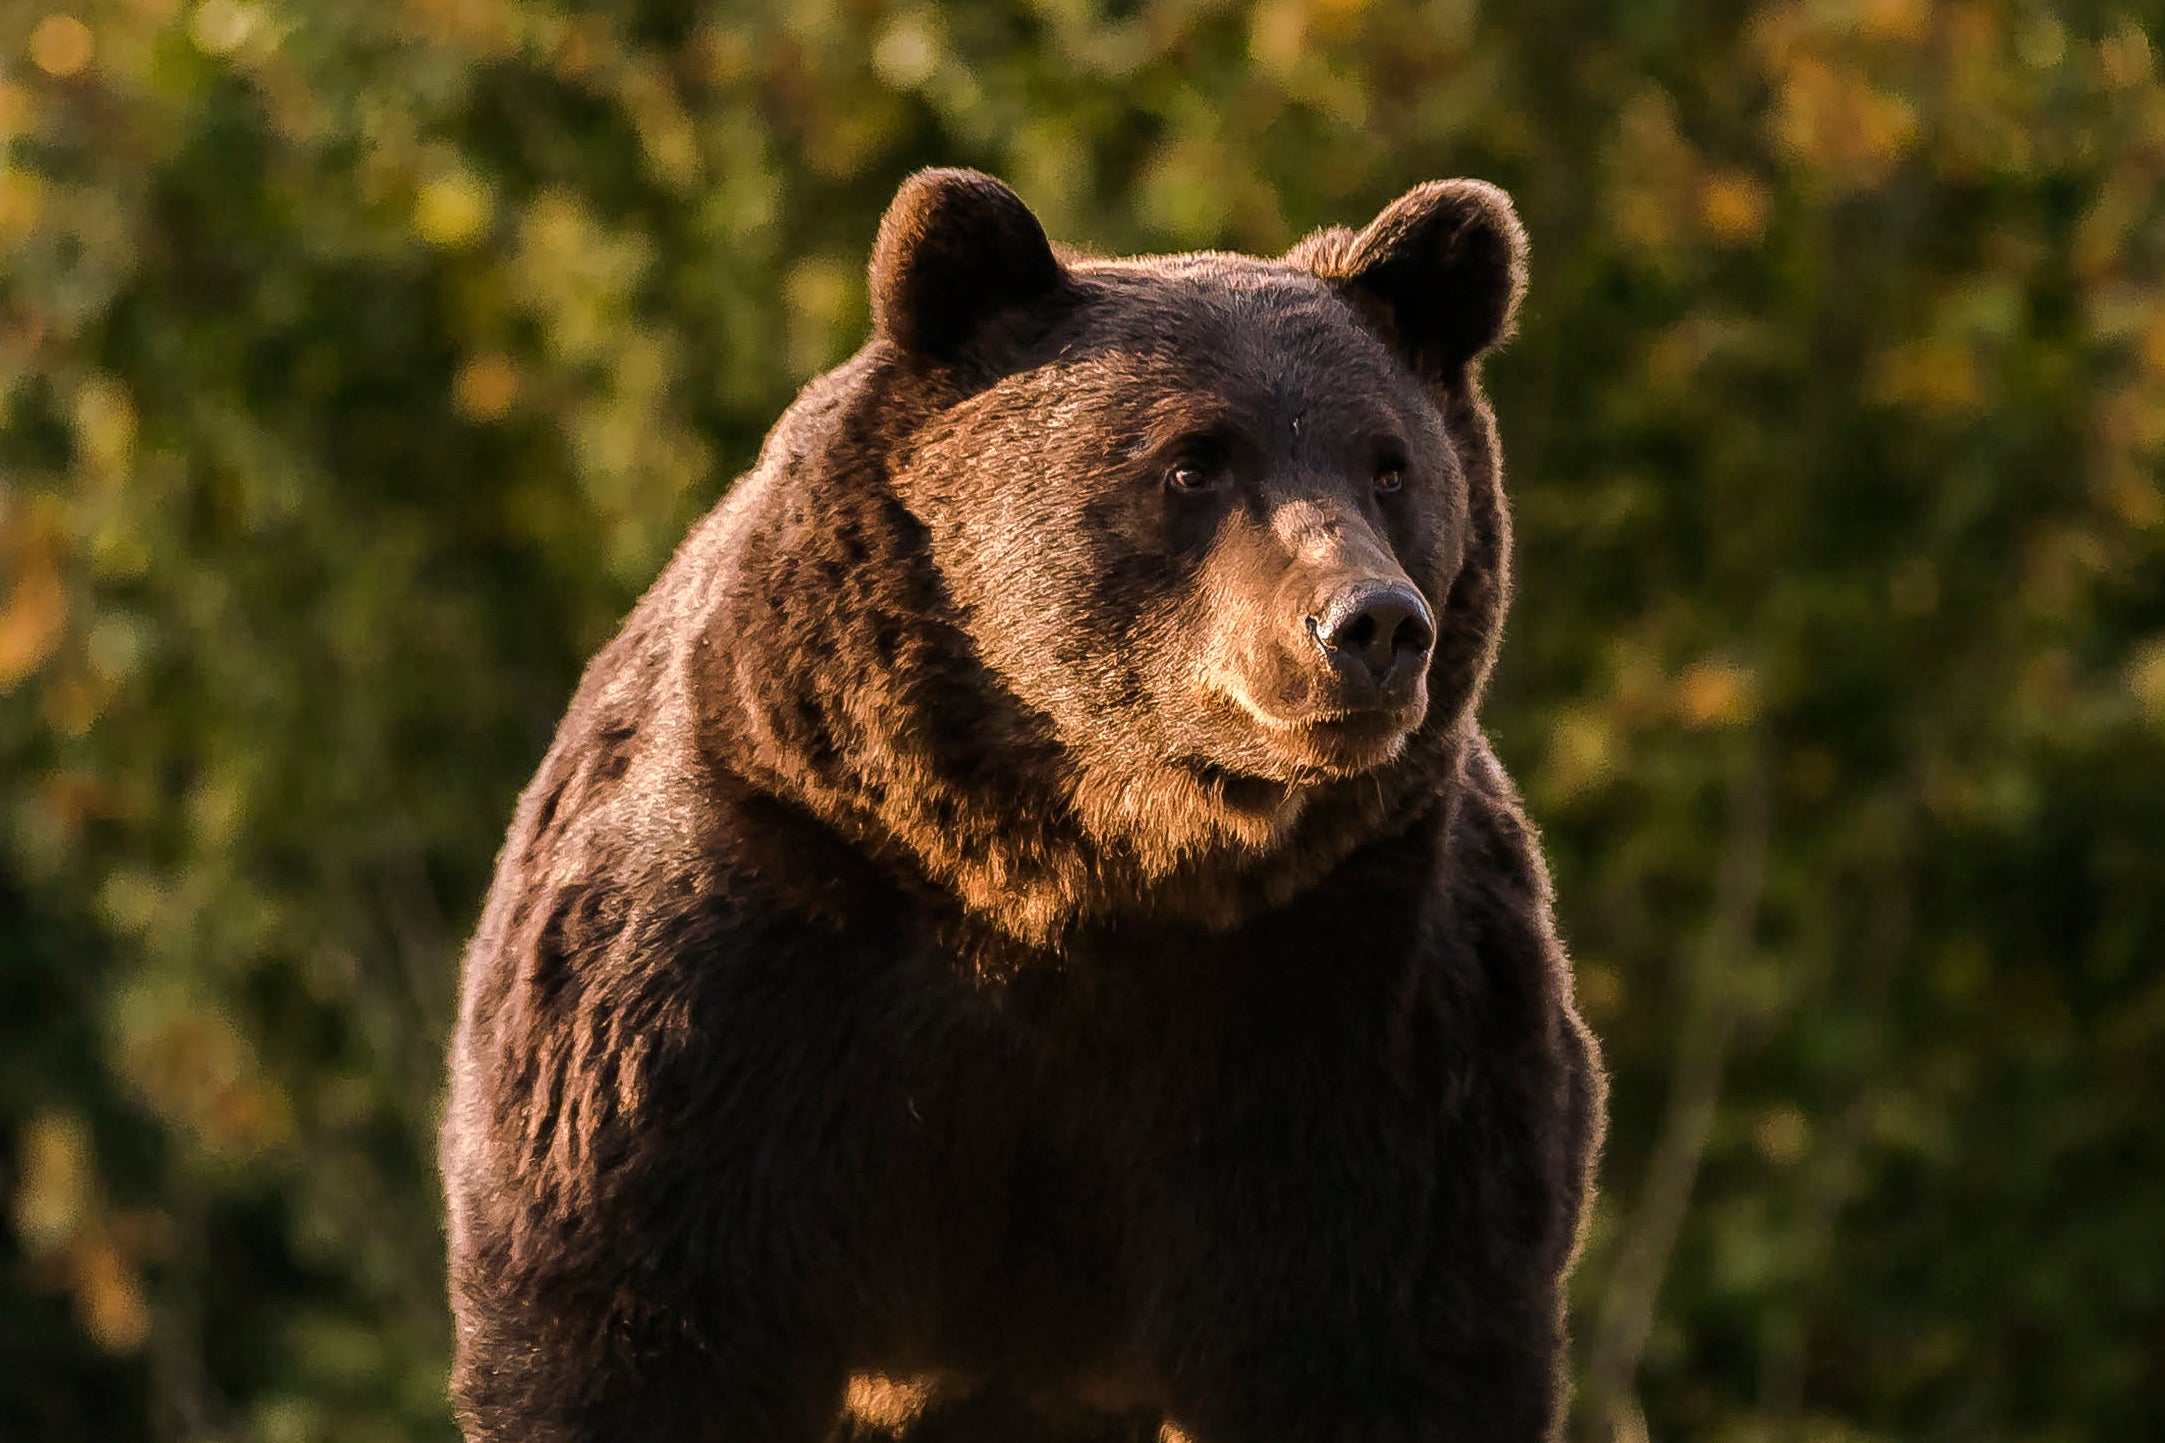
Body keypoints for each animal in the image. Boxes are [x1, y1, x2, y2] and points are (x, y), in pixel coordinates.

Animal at [439, 171, 1610, 1443]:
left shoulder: (1354, 999)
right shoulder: (743, 954)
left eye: (1388, 466)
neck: (1075, 868)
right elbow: (637, 1318)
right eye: (1192, 462)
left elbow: (1377, 1331)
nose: (1372, 624)